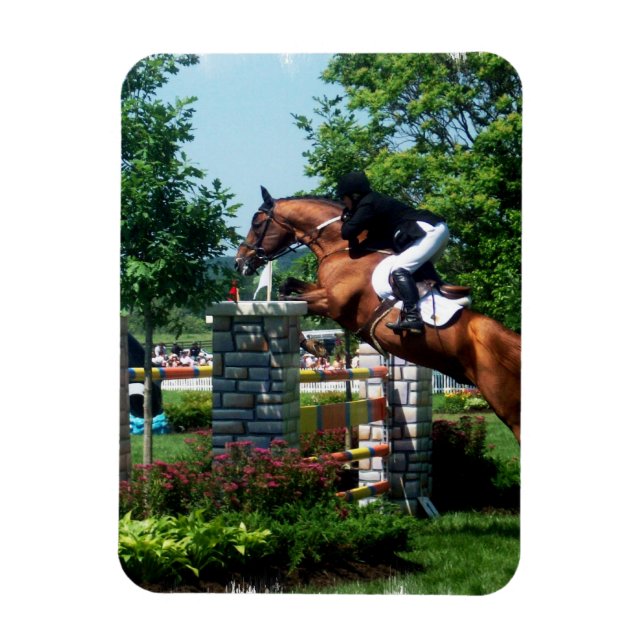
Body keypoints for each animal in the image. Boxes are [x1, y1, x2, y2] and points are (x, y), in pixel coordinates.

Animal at [235, 187, 521, 443]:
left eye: (256, 223)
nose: (240, 262)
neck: (342, 247)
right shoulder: (320, 291)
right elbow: (287, 287)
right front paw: (315, 345)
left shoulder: (331, 302)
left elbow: (288, 299)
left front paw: (314, 346)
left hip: (507, 404)